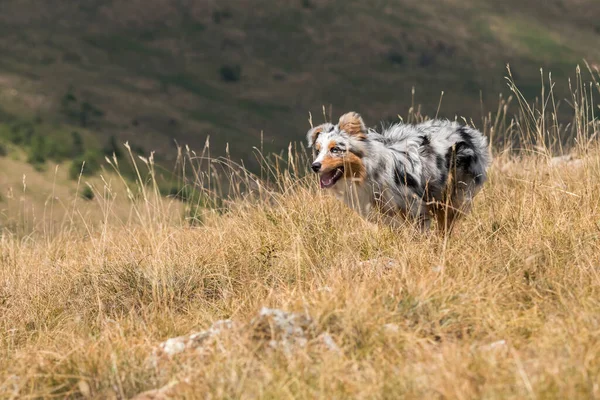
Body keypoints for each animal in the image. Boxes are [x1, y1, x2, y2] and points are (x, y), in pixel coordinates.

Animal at [308, 111, 490, 231]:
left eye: (335, 149)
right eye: (318, 150)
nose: (314, 166)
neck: (369, 172)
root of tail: (469, 132)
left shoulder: (415, 208)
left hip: (456, 193)